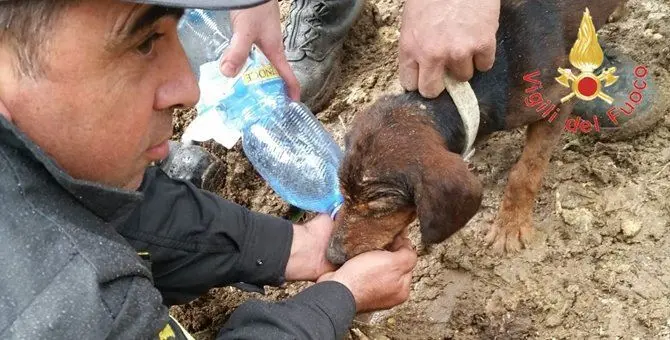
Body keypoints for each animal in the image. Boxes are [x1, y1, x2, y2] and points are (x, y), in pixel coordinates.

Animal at [328, 0, 628, 264]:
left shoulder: (559, 98)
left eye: (380, 206)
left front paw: (510, 226)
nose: (331, 255)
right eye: (342, 192)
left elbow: (525, 172)